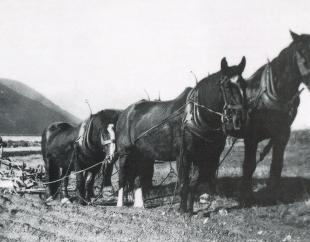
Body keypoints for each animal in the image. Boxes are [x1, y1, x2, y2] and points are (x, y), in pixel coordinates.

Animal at [116, 57, 247, 214]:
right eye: (227, 86)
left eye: (245, 85)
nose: (239, 120)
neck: (194, 116)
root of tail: (125, 112)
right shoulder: (183, 155)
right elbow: (184, 182)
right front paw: (182, 210)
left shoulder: (202, 157)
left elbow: (194, 183)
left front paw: (189, 209)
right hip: (125, 153)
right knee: (122, 176)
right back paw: (119, 204)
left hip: (142, 155)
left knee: (138, 178)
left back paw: (139, 204)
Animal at [241, 29, 310, 204]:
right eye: (300, 51)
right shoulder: (250, 135)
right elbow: (249, 165)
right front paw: (246, 197)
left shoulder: (283, 133)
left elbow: (277, 165)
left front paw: (273, 194)